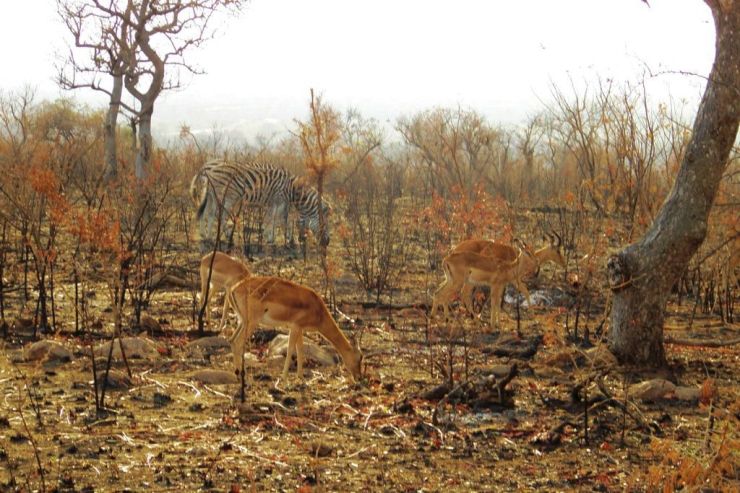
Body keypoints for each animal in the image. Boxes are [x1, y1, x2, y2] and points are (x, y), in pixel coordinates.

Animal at [227, 276, 362, 382]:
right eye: (360, 357)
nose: (359, 377)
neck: (318, 309)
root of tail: (233, 289)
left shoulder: (300, 329)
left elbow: (300, 350)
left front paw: (300, 376)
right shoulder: (295, 327)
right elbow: (290, 350)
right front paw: (284, 377)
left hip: (243, 322)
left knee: (232, 340)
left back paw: (237, 374)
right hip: (251, 323)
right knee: (237, 342)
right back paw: (241, 376)